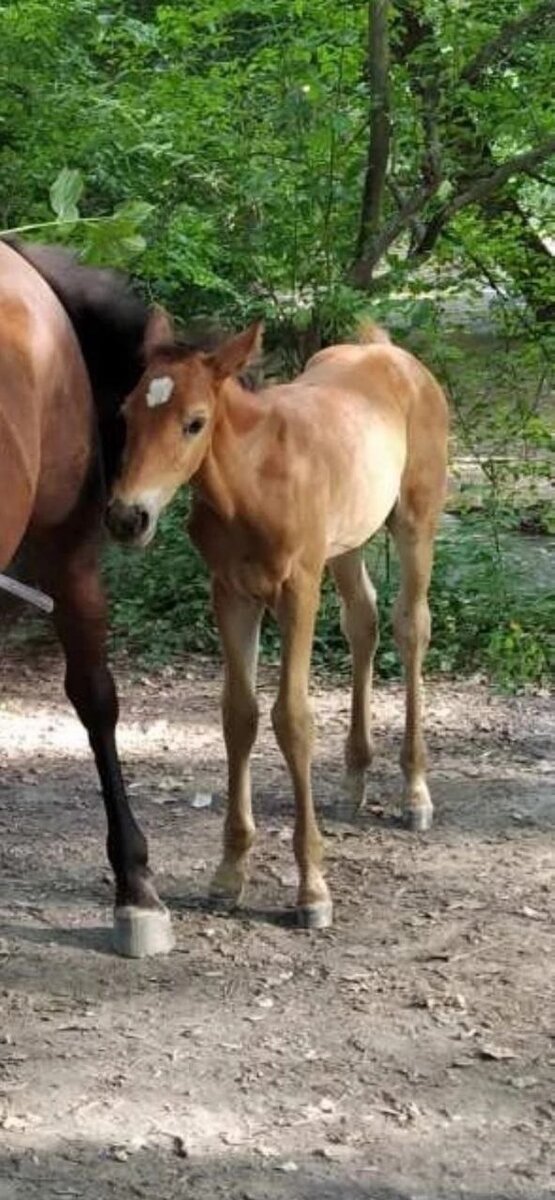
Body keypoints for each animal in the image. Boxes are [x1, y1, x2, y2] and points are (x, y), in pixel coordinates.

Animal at [107, 312, 446, 926]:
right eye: (126, 414)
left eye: (194, 423)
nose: (127, 517)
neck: (253, 480)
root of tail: (390, 354)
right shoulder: (229, 592)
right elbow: (239, 716)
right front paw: (228, 873)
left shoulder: (297, 589)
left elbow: (292, 719)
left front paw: (312, 888)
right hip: (347, 542)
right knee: (363, 620)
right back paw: (354, 779)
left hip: (415, 521)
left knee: (411, 626)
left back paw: (415, 792)